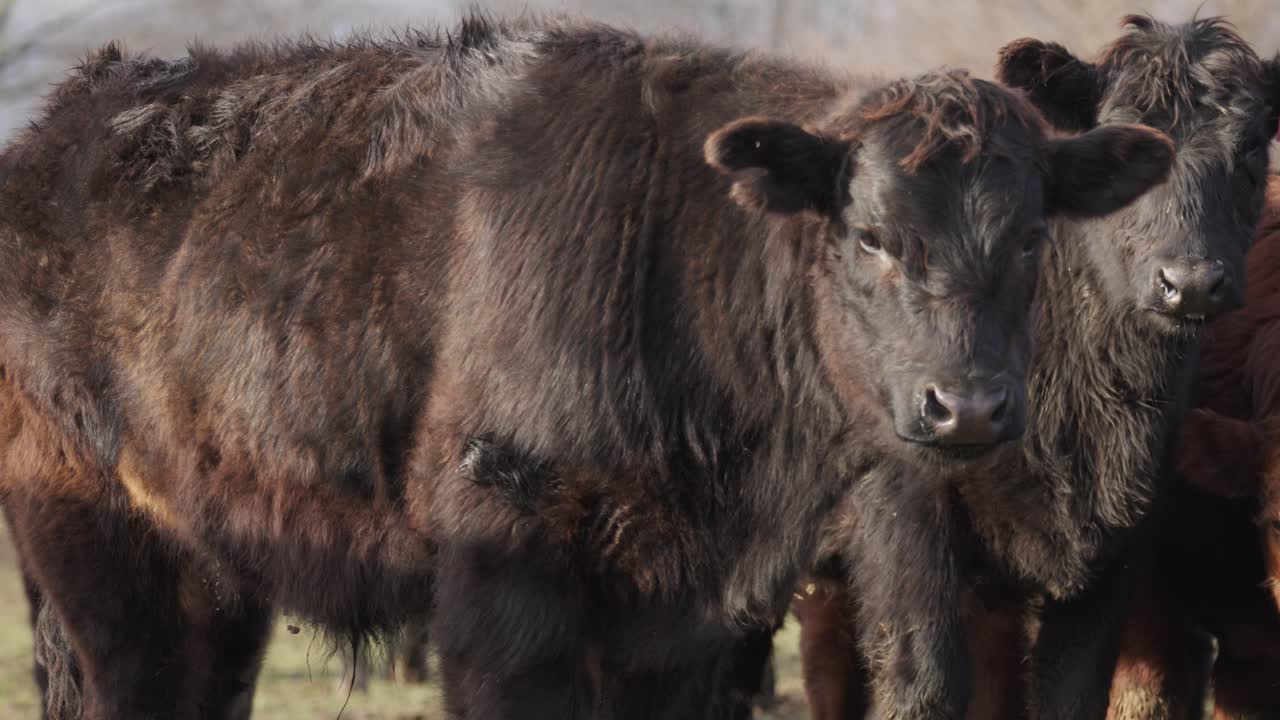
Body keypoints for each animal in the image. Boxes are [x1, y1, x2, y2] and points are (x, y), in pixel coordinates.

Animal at [0, 14, 1176, 719]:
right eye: (871, 237)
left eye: (1030, 236)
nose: (965, 406)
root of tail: (70, 118)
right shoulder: (506, 574)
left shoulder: (684, 615)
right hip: (93, 546)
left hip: (210, 560)